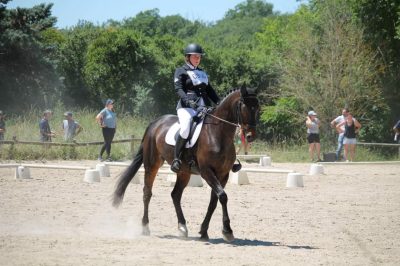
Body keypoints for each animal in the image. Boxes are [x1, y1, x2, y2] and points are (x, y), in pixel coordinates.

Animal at [112, 86, 260, 242]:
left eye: (257, 107)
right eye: (244, 107)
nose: (250, 136)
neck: (218, 133)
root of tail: (155, 123)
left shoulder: (223, 174)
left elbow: (214, 201)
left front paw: (204, 231)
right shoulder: (207, 171)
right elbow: (223, 196)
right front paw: (227, 230)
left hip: (184, 172)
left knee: (175, 195)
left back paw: (182, 227)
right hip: (152, 165)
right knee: (147, 192)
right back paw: (145, 227)